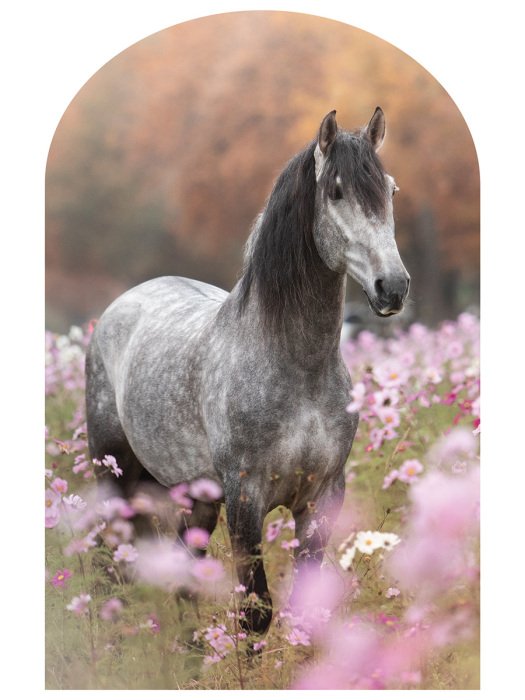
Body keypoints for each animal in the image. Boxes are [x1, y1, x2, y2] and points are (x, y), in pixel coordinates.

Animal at [85, 107, 410, 635]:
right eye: (336, 192)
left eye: (392, 190)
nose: (393, 287)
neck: (298, 368)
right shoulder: (245, 498)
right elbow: (255, 611)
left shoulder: (322, 498)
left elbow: (306, 608)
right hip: (112, 475)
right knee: (105, 566)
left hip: (196, 497)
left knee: (184, 575)